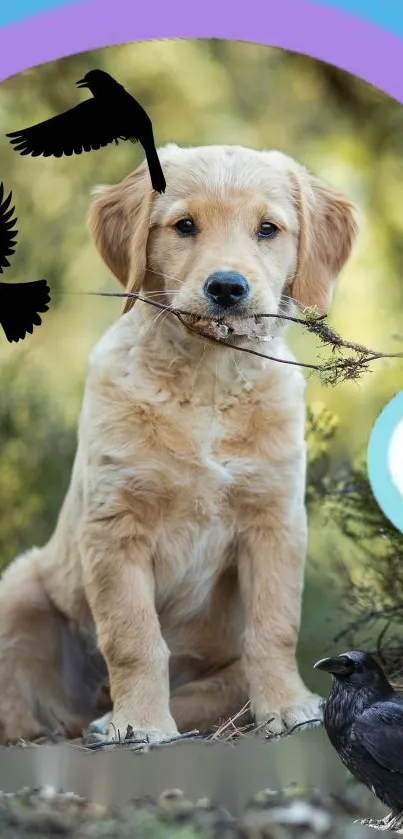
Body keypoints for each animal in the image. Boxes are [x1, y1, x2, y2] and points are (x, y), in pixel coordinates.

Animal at [0, 143, 360, 740]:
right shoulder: (115, 528)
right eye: (184, 226)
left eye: (268, 229)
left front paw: (287, 706)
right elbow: (134, 637)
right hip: (19, 587)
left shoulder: (274, 520)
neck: (208, 383)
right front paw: (142, 725)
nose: (227, 288)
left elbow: (274, 626)